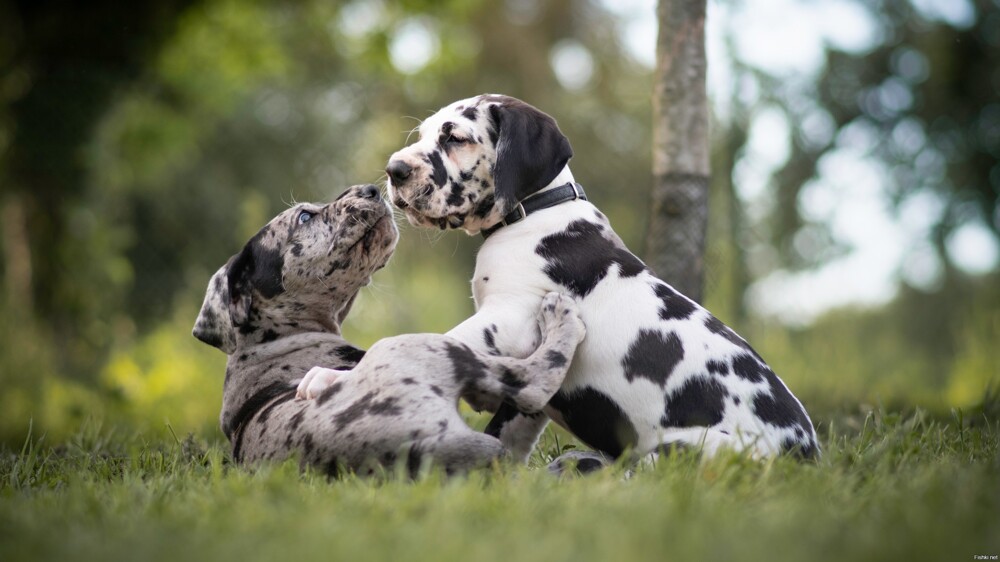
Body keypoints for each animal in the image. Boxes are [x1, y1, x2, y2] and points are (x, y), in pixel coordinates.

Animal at [191, 184, 588, 472]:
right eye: (304, 217)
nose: (369, 188)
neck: (278, 338)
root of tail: (414, 448)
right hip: (423, 347)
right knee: (535, 385)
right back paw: (560, 318)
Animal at [382, 95, 820, 464]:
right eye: (422, 135)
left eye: (454, 138)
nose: (394, 170)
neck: (536, 212)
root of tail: (806, 456)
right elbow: (511, 428)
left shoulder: (512, 319)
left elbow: (434, 342)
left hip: (685, 448)